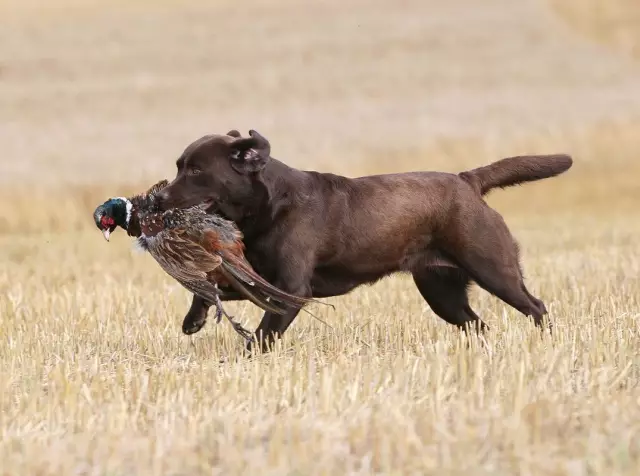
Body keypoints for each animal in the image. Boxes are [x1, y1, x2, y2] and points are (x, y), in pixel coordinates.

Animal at [156, 128, 576, 352]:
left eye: (196, 171)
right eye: (178, 167)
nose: (157, 199)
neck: (270, 204)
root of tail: (466, 180)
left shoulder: (291, 288)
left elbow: (262, 334)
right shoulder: (262, 280)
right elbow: (210, 287)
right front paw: (193, 320)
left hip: (493, 269)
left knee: (536, 307)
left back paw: (548, 344)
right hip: (442, 291)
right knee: (478, 325)